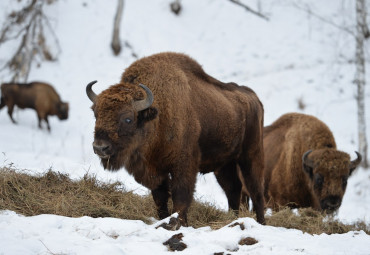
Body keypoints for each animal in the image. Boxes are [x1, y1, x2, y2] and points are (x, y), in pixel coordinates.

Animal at [86, 50, 266, 226]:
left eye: (128, 119)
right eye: (96, 114)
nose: (100, 147)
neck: (159, 115)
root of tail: (255, 99)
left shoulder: (183, 165)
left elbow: (180, 195)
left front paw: (179, 223)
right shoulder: (155, 170)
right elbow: (160, 197)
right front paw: (163, 219)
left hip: (251, 157)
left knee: (256, 190)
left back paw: (261, 222)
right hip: (224, 164)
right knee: (233, 189)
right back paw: (232, 219)